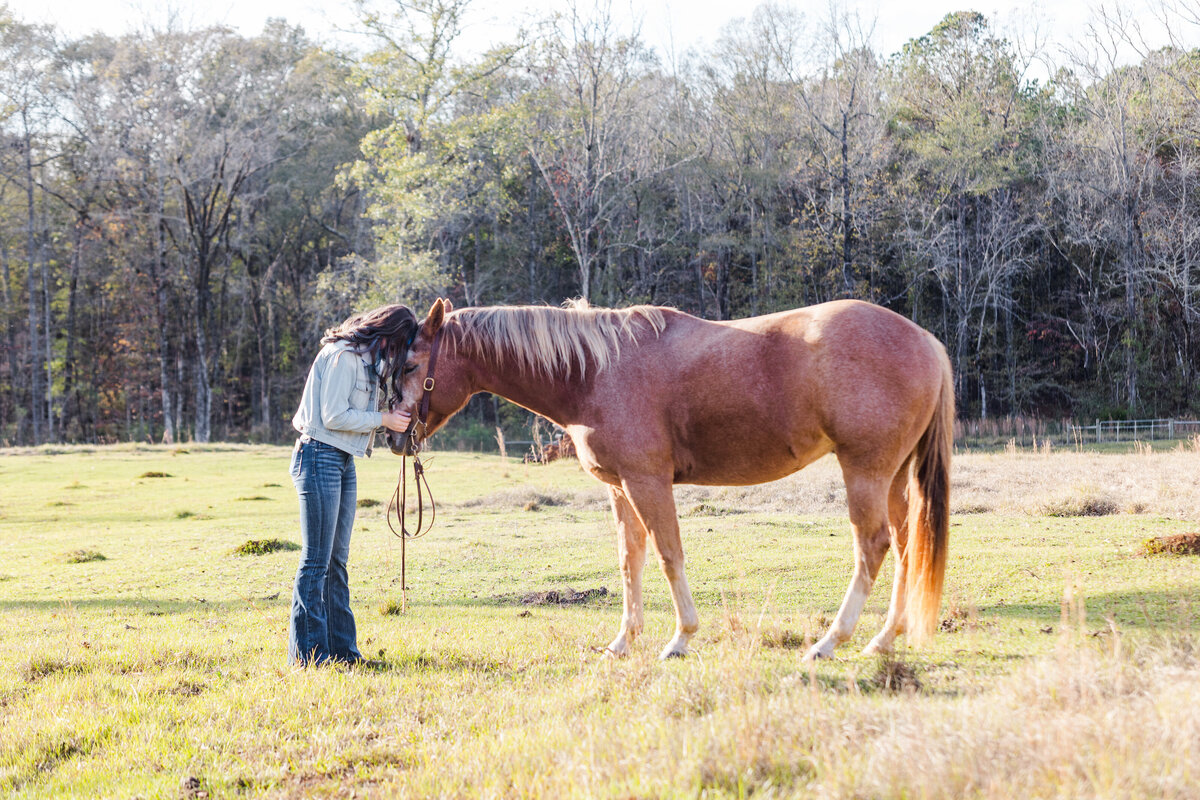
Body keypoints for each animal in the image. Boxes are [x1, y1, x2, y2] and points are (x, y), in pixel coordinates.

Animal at [388, 297, 950, 662]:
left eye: (411, 364)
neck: (595, 372)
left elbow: (667, 554)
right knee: (906, 545)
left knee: (872, 546)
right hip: (893, 477)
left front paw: (681, 638)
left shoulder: (647, 482)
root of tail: (925, 340)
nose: (395, 438)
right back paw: (884, 639)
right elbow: (630, 560)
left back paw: (831, 642)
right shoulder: (619, 488)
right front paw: (622, 641)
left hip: (865, 471)